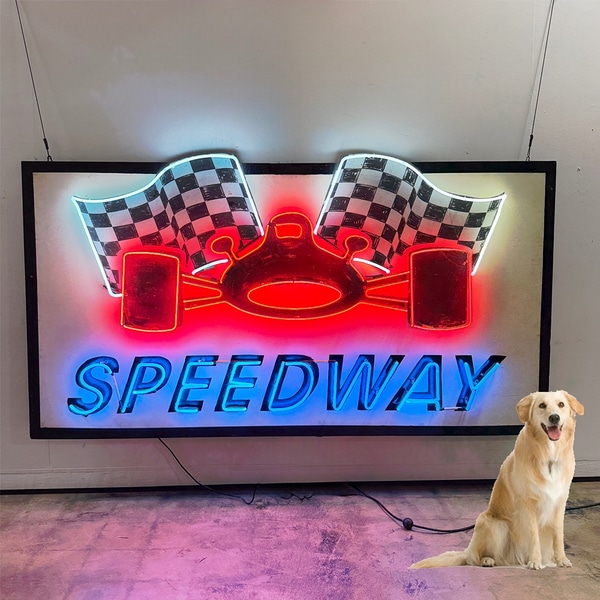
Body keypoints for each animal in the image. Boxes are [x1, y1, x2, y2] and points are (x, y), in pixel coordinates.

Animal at [411, 390, 584, 569]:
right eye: (542, 405)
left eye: (561, 404)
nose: (554, 417)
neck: (549, 456)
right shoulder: (528, 504)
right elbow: (533, 536)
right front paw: (535, 561)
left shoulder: (559, 503)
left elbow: (558, 535)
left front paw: (561, 559)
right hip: (495, 524)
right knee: (474, 558)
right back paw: (487, 560)